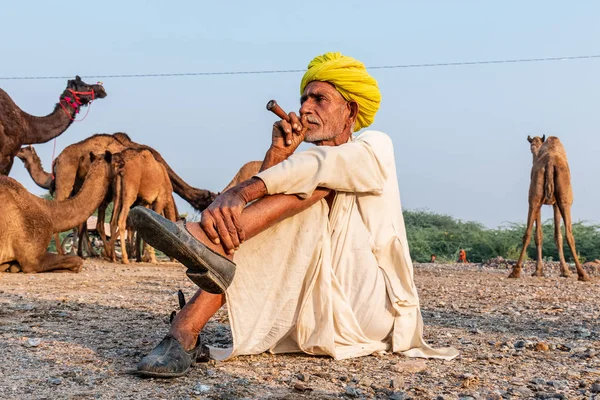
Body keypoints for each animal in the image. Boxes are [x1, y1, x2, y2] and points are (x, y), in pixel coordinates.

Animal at [508, 134, 592, 282]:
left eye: (534, 146)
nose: (533, 148)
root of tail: (549, 162)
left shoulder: (545, 202)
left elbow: (544, 234)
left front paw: (540, 271)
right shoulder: (556, 203)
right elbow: (555, 235)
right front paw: (563, 271)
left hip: (535, 197)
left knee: (527, 232)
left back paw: (515, 272)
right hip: (565, 200)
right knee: (569, 233)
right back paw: (582, 274)